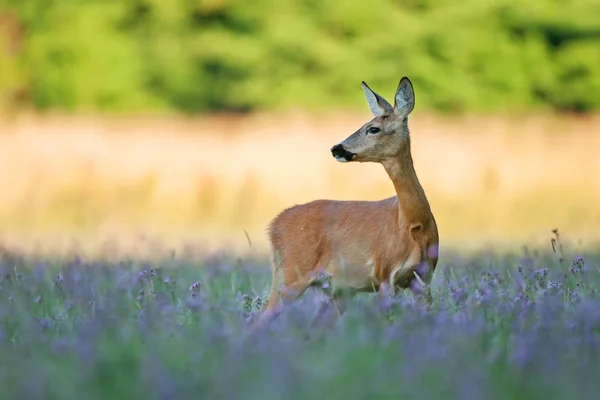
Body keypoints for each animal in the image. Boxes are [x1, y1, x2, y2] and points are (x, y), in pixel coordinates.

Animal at [246, 76, 438, 336]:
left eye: (373, 128)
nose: (336, 148)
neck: (413, 223)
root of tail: (274, 224)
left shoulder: (425, 277)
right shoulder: (384, 273)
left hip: (337, 290)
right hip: (290, 273)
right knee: (256, 321)